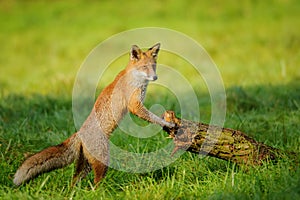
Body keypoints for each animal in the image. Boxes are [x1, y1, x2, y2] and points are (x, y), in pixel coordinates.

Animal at [13, 43, 173, 187]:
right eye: (144, 67)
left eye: (153, 66)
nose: (155, 77)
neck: (134, 77)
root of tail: (79, 133)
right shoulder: (135, 105)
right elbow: (152, 117)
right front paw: (167, 124)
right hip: (102, 162)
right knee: (96, 184)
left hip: (85, 166)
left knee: (74, 182)